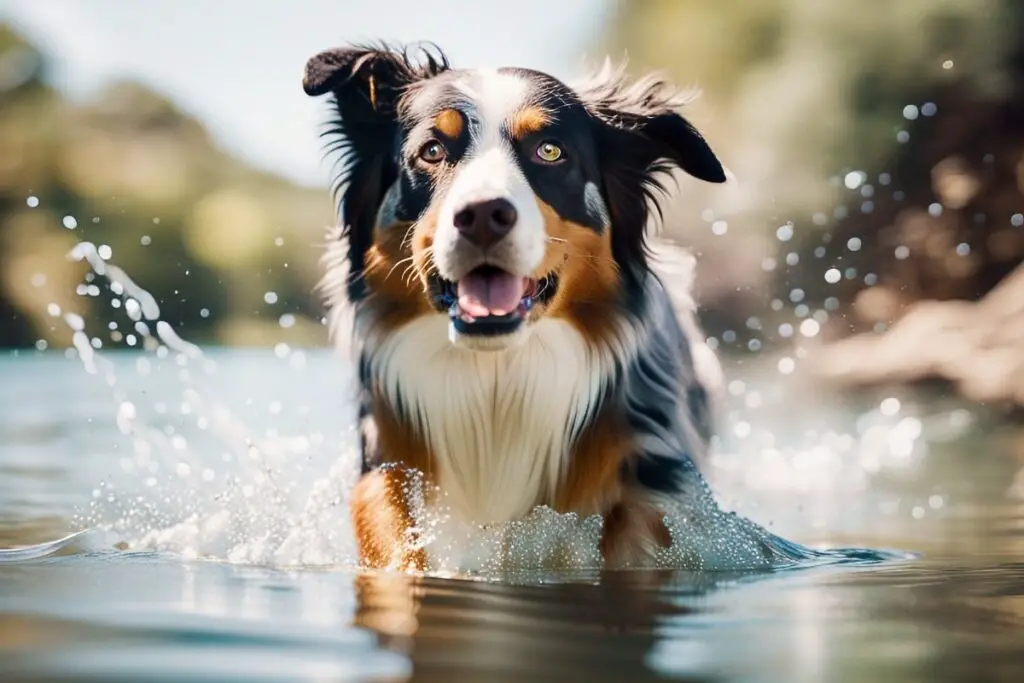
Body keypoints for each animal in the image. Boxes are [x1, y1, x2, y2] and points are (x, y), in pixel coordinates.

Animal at [303, 42, 798, 573]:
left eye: (550, 150)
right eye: (432, 150)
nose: (483, 215)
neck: (497, 383)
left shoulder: (651, 470)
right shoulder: (387, 458)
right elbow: (388, 529)